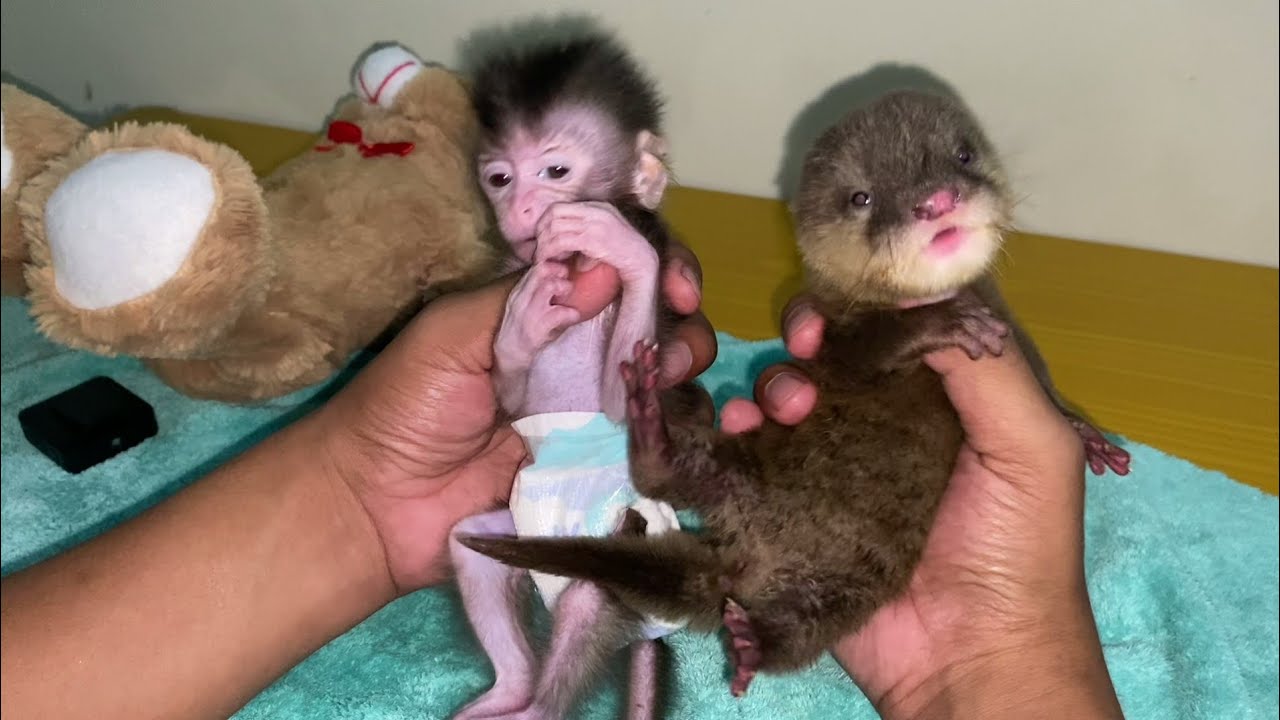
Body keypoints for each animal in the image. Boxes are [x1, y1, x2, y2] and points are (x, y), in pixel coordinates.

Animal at [445, 33, 704, 720]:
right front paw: (521, 329)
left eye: (556, 172)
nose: (524, 206)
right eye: (500, 178)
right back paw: (506, 693)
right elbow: (509, 399)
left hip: (618, 558)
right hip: (520, 535)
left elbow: (622, 400)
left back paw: (535, 708)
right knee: (469, 546)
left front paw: (628, 255)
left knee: (587, 601)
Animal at [457, 88, 1129, 698]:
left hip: (847, 592)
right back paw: (652, 432)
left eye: (962, 154)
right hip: (740, 472)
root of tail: (738, 564)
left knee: (801, 632)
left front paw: (1086, 435)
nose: (936, 202)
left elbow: (1049, 395)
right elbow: (872, 348)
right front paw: (947, 321)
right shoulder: (838, 340)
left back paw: (753, 642)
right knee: (666, 479)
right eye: (861, 197)